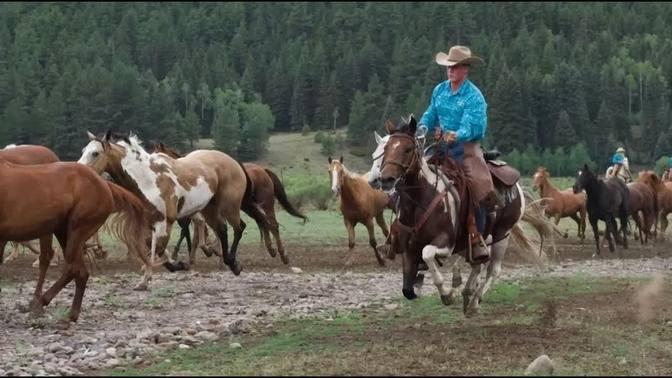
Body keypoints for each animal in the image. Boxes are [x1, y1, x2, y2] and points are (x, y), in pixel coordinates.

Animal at [0, 155, 150, 320]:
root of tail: (104, 183)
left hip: (78, 229)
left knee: (72, 268)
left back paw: (42, 304)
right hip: (63, 232)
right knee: (80, 272)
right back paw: (70, 312)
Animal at [79, 130, 268, 290]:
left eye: (95, 153)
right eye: (84, 150)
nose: (79, 169)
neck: (147, 180)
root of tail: (233, 161)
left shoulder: (165, 221)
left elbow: (159, 248)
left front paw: (155, 274)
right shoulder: (148, 223)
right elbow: (152, 246)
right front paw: (170, 267)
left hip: (230, 206)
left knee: (239, 227)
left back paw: (233, 263)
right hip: (209, 209)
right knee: (222, 229)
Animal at [152, 142, 308, 266]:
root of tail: (263, 170)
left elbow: (198, 231)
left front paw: (211, 252)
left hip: (265, 204)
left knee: (272, 225)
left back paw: (283, 255)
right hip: (247, 206)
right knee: (262, 221)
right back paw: (271, 250)